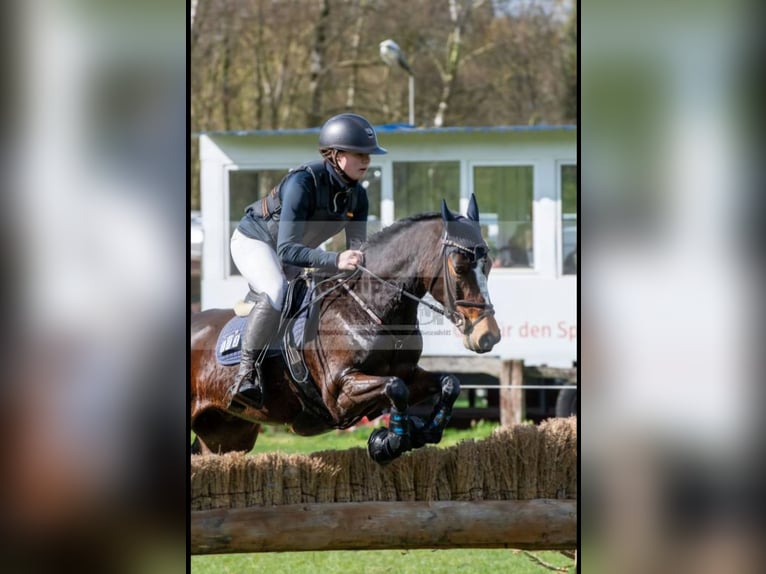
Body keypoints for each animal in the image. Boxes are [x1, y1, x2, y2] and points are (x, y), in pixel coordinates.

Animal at [190, 196, 504, 466]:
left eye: (488, 265)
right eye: (459, 267)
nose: (488, 336)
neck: (371, 308)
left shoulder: (409, 374)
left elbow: (449, 382)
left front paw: (425, 430)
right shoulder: (339, 393)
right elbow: (395, 387)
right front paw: (391, 442)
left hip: (227, 433)